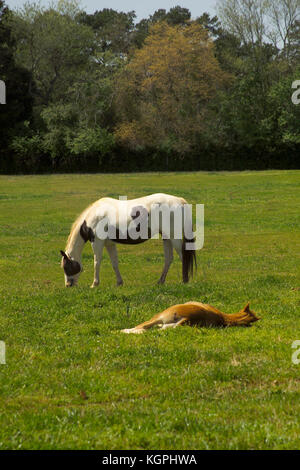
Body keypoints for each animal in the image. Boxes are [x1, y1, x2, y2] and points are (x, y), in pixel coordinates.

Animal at [61, 193, 197, 288]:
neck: (93, 216)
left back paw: (185, 281)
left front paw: (94, 284)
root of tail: (180, 201)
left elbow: (97, 262)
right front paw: (119, 282)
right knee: (169, 259)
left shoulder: (97, 242)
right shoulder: (109, 244)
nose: (68, 285)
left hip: (174, 237)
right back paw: (160, 281)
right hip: (166, 238)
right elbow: (114, 263)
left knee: (183, 256)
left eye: (66, 267)